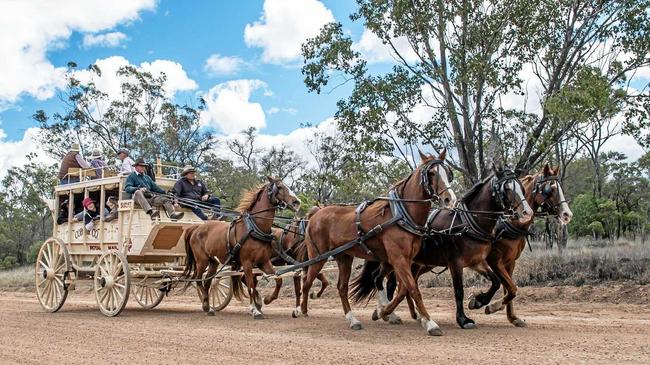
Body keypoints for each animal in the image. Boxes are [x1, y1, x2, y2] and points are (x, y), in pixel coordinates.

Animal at [181, 176, 300, 316]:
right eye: (279, 187)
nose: (297, 202)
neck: (255, 228)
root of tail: (196, 227)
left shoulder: (263, 262)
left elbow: (278, 279)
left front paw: (267, 299)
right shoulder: (247, 263)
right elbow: (251, 286)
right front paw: (254, 310)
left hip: (213, 262)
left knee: (207, 282)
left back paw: (208, 306)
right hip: (201, 261)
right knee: (198, 280)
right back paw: (206, 305)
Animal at [294, 151, 454, 336]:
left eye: (447, 173)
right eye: (432, 173)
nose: (449, 199)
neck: (401, 215)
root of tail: (315, 215)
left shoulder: (405, 260)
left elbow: (403, 289)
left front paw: (384, 312)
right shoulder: (399, 259)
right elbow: (413, 289)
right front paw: (430, 323)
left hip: (344, 258)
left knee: (342, 287)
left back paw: (352, 320)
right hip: (318, 257)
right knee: (307, 282)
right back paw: (301, 310)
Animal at [350, 165, 532, 330]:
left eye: (521, 188)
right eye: (506, 188)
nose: (527, 213)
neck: (468, 222)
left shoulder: (477, 262)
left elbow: (495, 282)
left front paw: (478, 302)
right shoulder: (456, 263)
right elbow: (459, 291)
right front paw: (463, 319)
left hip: (414, 264)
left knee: (386, 281)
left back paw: (395, 312)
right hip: (397, 261)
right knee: (384, 281)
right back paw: (388, 312)